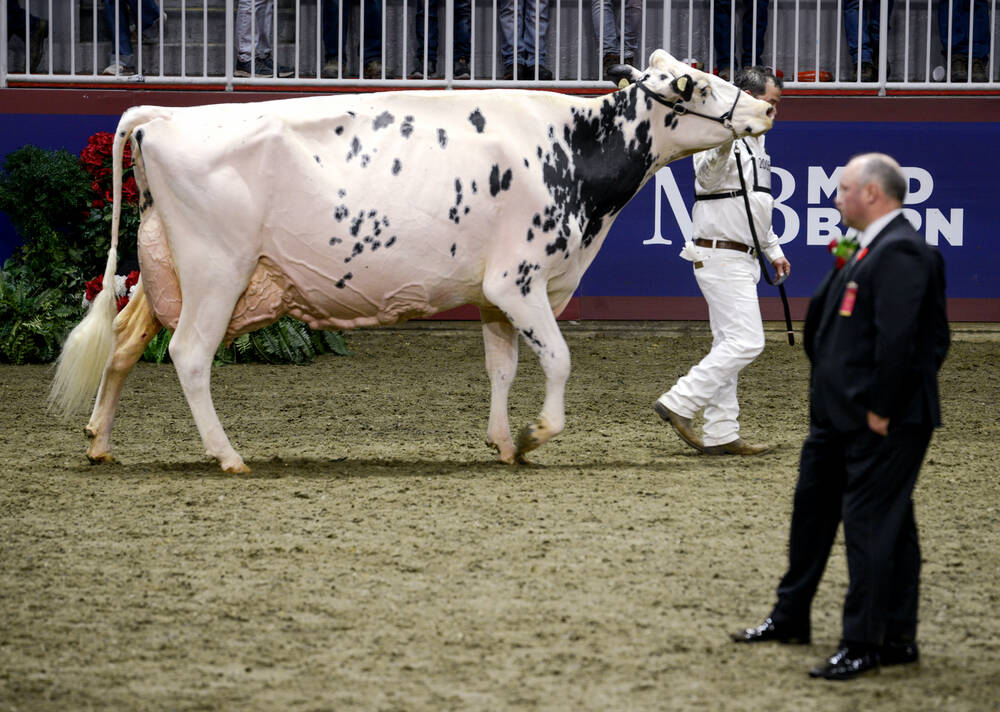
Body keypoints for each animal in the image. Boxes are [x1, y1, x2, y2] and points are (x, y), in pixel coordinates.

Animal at [50, 50, 776, 472]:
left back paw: (99, 442)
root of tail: (164, 115)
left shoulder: (492, 295)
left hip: (163, 273)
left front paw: (502, 443)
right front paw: (536, 435)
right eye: (694, 84)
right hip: (216, 270)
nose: (767, 107)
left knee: (123, 344)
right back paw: (227, 456)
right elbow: (560, 360)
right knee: (190, 356)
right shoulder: (518, 280)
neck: (573, 151)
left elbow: (503, 369)